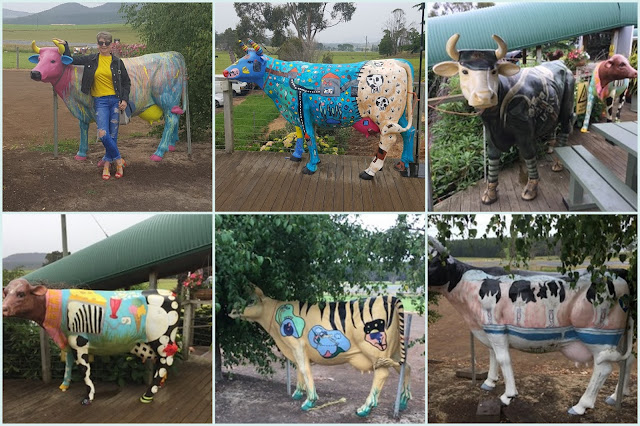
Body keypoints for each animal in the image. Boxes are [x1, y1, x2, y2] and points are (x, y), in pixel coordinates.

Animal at [28, 40, 188, 161]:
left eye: (53, 60)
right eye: (39, 59)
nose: (35, 73)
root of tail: (172, 54)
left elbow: (104, 130)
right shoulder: (82, 109)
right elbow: (83, 127)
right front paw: (81, 153)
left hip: (166, 98)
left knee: (171, 120)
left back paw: (159, 152)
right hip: (173, 101)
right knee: (175, 118)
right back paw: (171, 146)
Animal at [222, 38, 418, 180]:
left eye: (249, 61)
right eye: (240, 59)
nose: (226, 72)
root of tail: (396, 62)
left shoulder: (303, 113)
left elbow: (309, 137)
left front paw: (311, 165)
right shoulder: (295, 112)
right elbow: (299, 135)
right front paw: (296, 155)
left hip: (384, 114)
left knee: (388, 139)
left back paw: (370, 171)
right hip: (397, 114)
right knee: (409, 132)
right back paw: (404, 164)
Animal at [230, 286, 410, 416]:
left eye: (251, 300)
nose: (230, 311)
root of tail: (389, 297)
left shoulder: (297, 345)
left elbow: (304, 369)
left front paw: (310, 401)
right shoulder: (296, 350)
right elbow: (299, 369)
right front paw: (298, 393)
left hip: (375, 350)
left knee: (382, 374)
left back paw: (365, 408)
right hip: (393, 350)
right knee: (405, 367)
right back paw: (402, 402)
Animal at [428, 236, 632, 412]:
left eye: (434, 261)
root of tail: (616, 271)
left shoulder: (496, 328)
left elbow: (503, 359)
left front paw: (508, 395)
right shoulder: (488, 329)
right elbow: (492, 355)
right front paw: (489, 382)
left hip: (597, 336)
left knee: (603, 368)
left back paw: (581, 406)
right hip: (619, 336)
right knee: (626, 360)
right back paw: (616, 396)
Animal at [430, 34, 576, 204]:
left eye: (494, 71)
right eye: (464, 71)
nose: (484, 96)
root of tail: (561, 63)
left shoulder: (524, 132)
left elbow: (528, 155)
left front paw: (531, 188)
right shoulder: (490, 133)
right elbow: (493, 156)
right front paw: (490, 192)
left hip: (567, 105)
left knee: (566, 126)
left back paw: (559, 163)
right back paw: (552, 149)